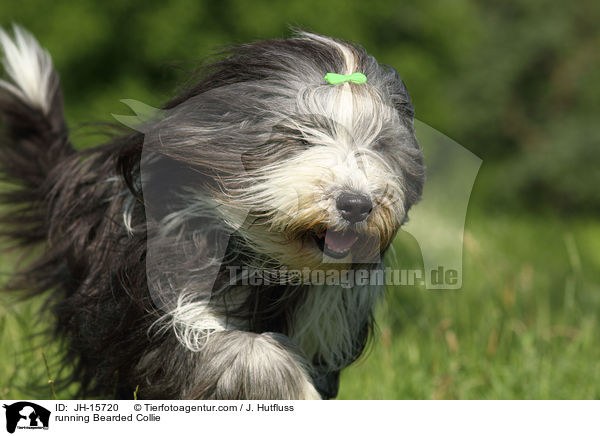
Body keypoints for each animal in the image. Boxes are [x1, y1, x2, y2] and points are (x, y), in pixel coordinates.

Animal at [0, 26, 424, 398]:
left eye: (380, 143)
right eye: (299, 137)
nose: (356, 205)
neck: (270, 270)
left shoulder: (326, 327)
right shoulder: (177, 307)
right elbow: (250, 353)